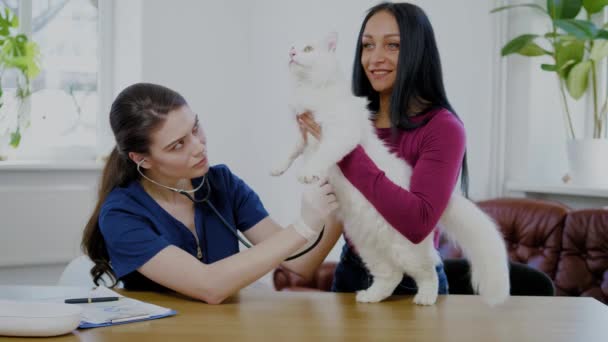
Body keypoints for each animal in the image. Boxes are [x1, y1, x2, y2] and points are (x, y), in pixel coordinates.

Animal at [274, 33, 510, 306]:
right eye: (292, 47)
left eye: (308, 49)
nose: (291, 54)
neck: (309, 90)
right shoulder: (301, 135)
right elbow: (290, 152)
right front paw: (276, 169)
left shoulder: (339, 134)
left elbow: (322, 155)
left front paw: (308, 173)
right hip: (369, 248)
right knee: (391, 277)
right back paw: (369, 297)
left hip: (410, 252)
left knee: (429, 273)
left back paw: (425, 299)